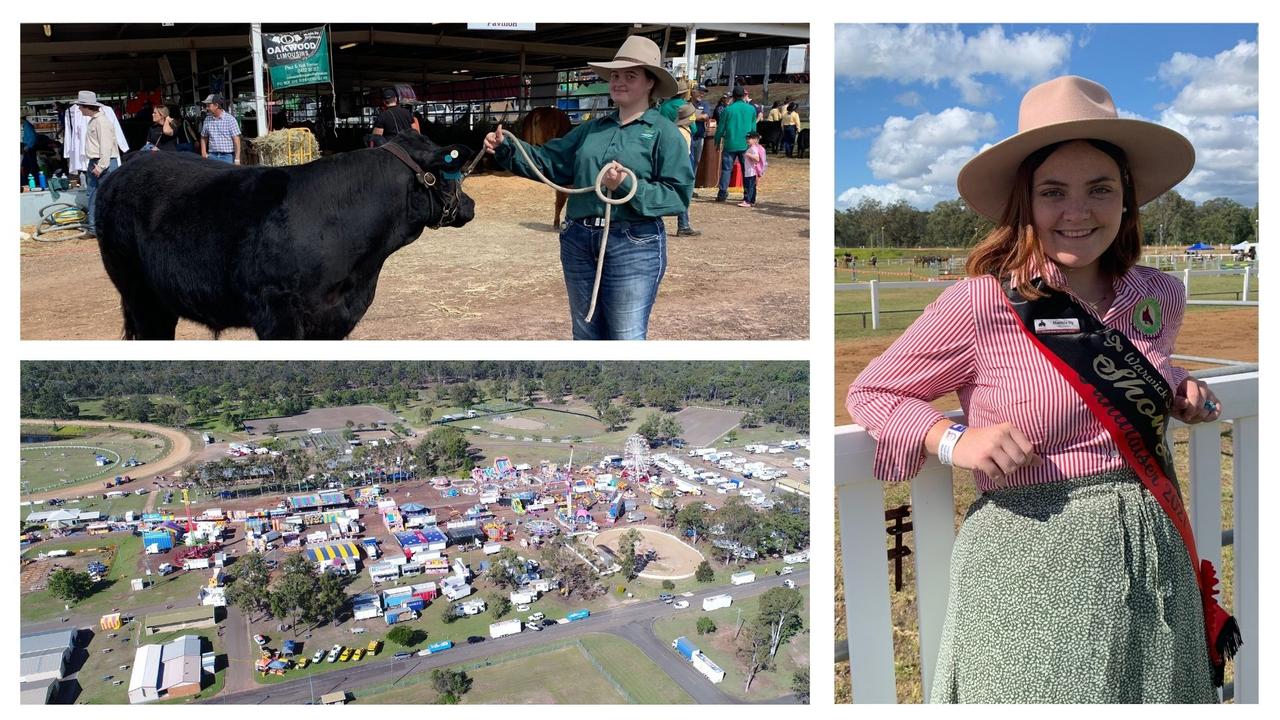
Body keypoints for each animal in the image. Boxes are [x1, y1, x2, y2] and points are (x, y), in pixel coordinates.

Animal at [94, 130, 476, 338]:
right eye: (449, 172)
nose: (470, 205)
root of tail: (126, 168)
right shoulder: (277, 313)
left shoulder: (333, 320)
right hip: (140, 296)